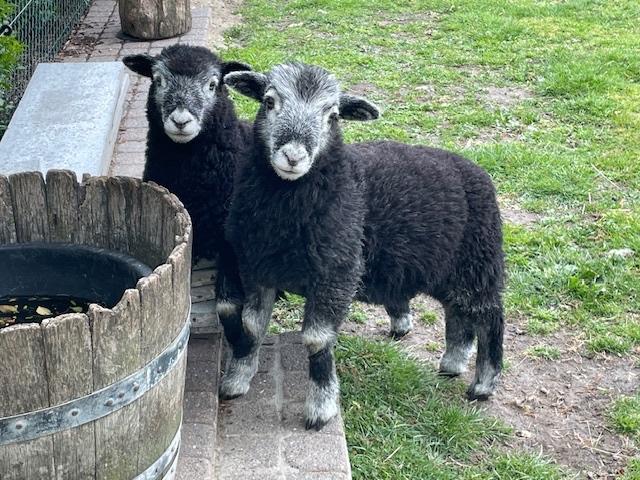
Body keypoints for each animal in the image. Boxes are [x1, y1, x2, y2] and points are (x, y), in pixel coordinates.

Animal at [220, 62, 505, 430]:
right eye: (269, 102)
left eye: (333, 116)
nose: (293, 156)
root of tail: (476, 169)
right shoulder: (257, 268)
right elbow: (252, 326)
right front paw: (238, 378)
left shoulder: (337, 272)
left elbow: (316, 339)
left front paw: (321, 408)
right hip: (449, 271)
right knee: (458, 315)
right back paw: (452, 363)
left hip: (478, 264)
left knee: (490, 318)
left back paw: (483, 384)